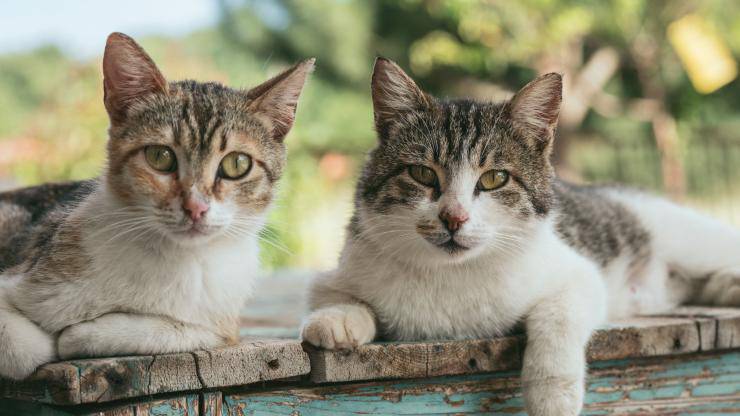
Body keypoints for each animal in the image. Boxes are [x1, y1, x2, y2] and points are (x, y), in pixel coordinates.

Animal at [0, 32, 314, 380]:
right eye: (160, 157)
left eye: (237, 164)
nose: (195, 207)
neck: (172, 260)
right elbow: (24, 349)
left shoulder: (222, 323)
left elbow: (182, 329)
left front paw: (84, 333)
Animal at [300, 58, 740, 416]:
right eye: (422, 173)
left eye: (495, 178)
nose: (453, 217)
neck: (452, 275)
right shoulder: (342, 266)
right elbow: (335, 296)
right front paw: (337, 319)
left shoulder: (579, 274)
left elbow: (556, 316)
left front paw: (552, 393)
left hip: (689, 238)